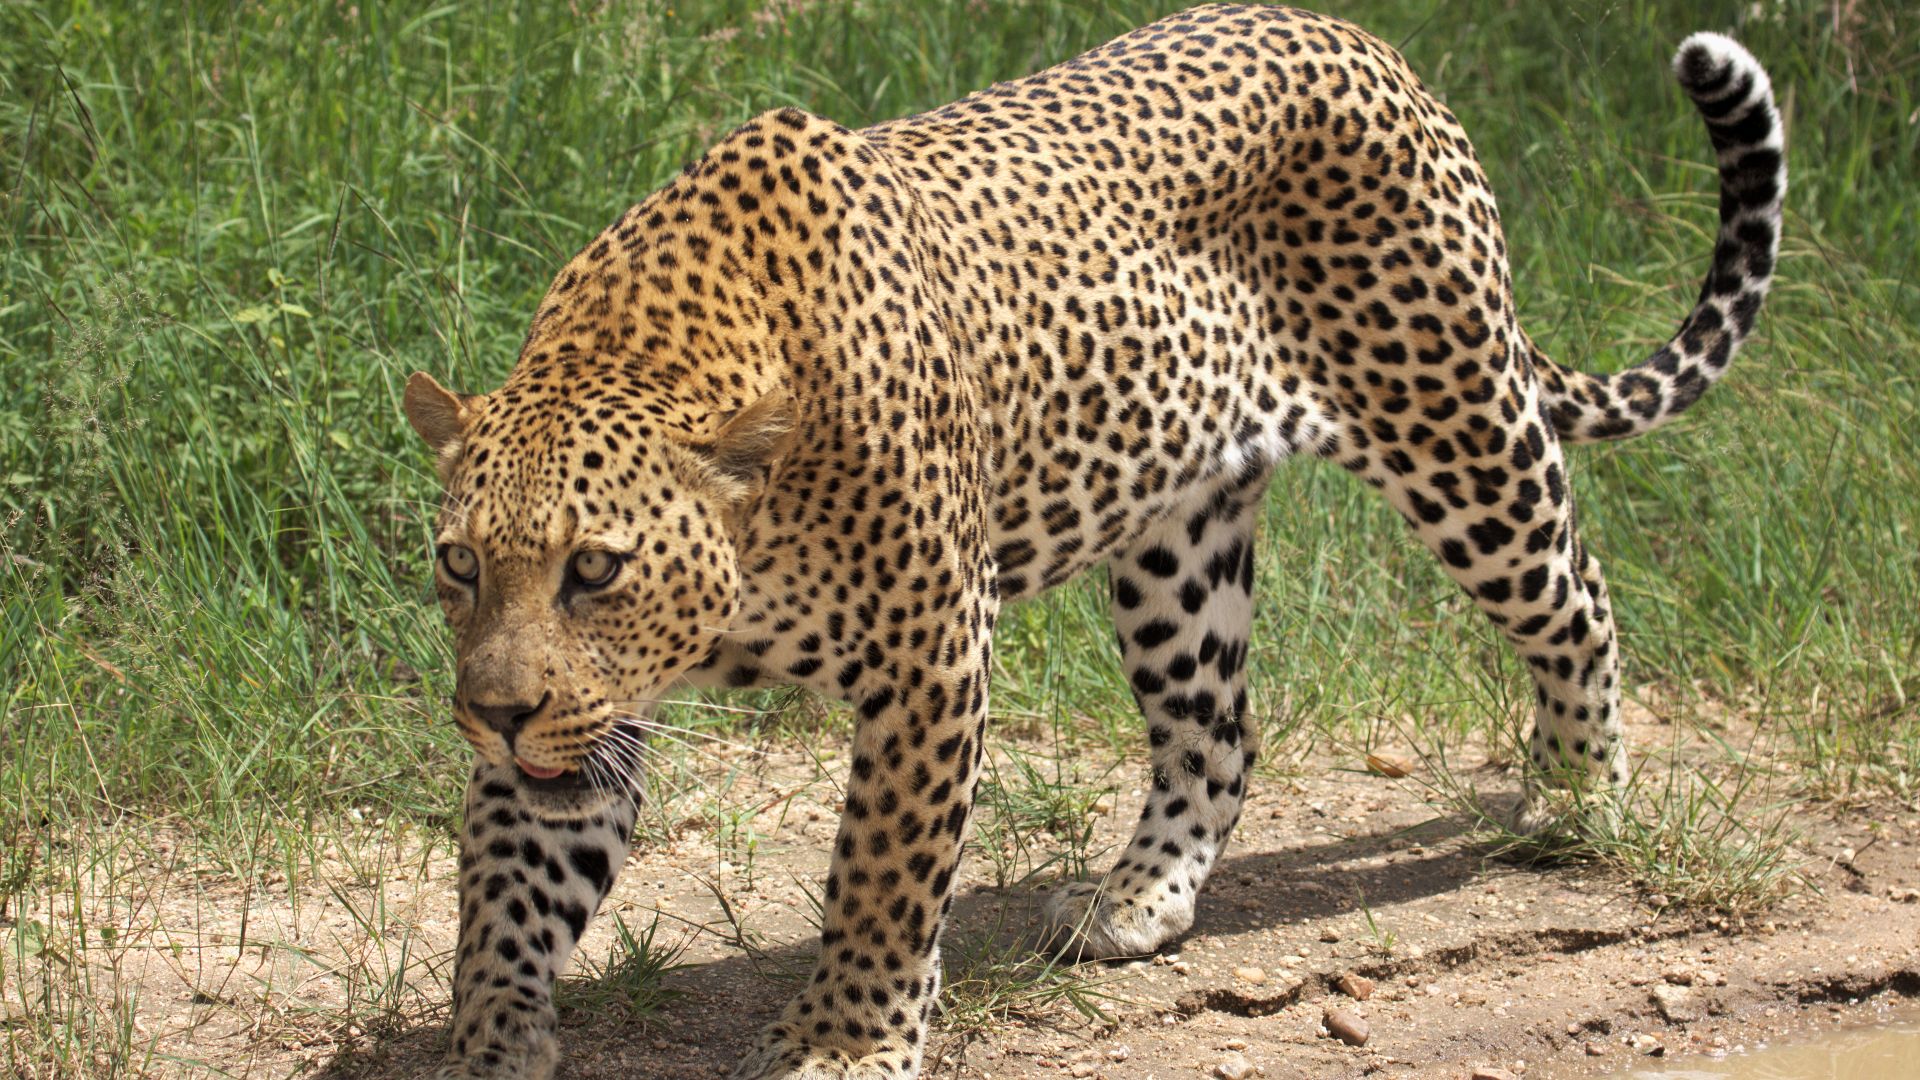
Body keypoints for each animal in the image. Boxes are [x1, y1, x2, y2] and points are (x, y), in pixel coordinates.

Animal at [400, 6, 1784, 1077]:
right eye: (461, 564)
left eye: (596, 568)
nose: (494, 715)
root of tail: (1371, 44)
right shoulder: (588, 713)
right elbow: (509, 872)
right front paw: (490, 1030)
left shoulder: (931, 653)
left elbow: (884, 871)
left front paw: (850, 1039)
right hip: (1177, 544)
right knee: (1216, 732)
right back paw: (1137, 901)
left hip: (1459, 430)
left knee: (1578, 596)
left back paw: (1578, 793)